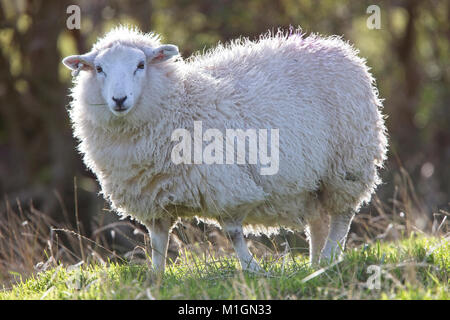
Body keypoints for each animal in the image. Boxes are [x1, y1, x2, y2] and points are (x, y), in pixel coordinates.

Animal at [61, 26, 388, 274]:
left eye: (140, 66)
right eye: (99, 69)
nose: (119, 99)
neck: (179, 103)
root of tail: (337, 47)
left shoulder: (226, 185)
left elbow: (232, 233)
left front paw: (252, 269)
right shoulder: (152, 199)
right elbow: (157, 242)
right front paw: (156, 276)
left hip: (346, 165)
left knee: (342, 217)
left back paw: (330, 257)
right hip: (312, 181)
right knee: (319, 221)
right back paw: (315, 263)